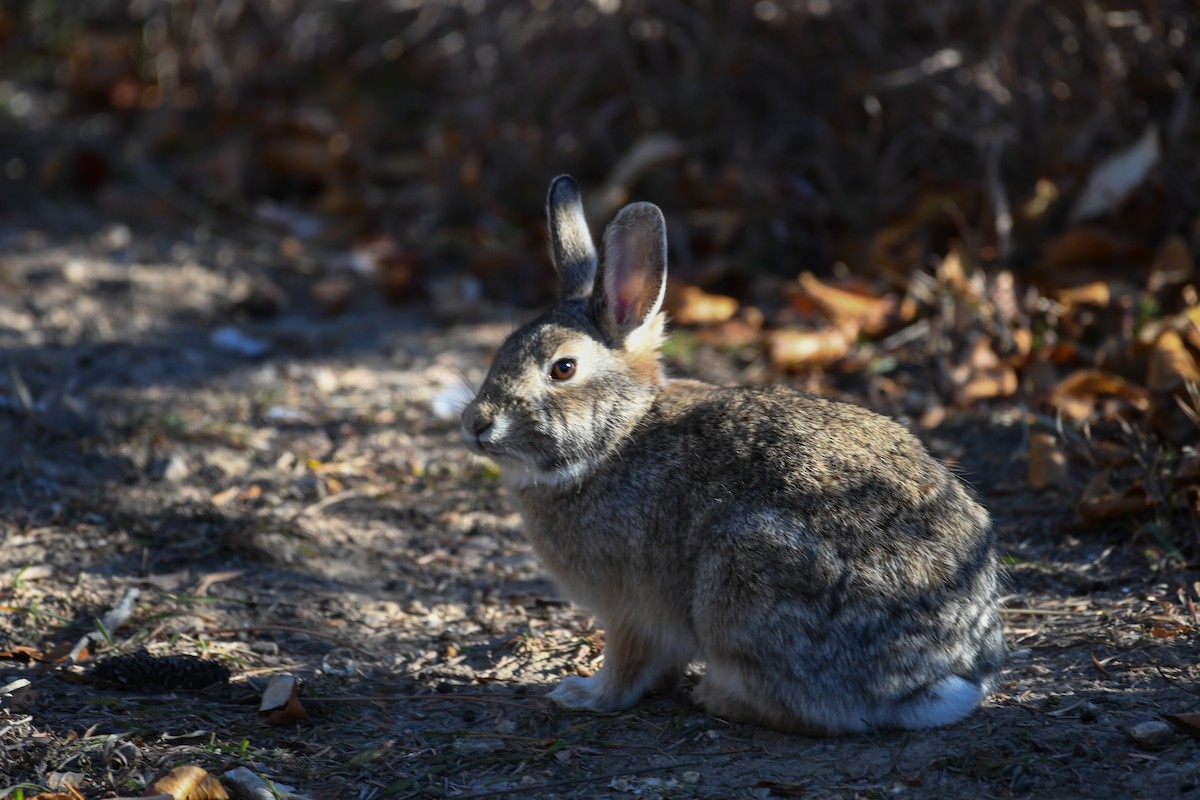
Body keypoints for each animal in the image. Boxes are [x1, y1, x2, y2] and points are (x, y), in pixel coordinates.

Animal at [461, 175, 1006, 735]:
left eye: (563, 368)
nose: (476, 424)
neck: (617, 437)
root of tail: (933, 681)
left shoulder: (630, 608)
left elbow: (625, 664)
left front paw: (584, 694)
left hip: (744, 583)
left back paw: (718, 698)